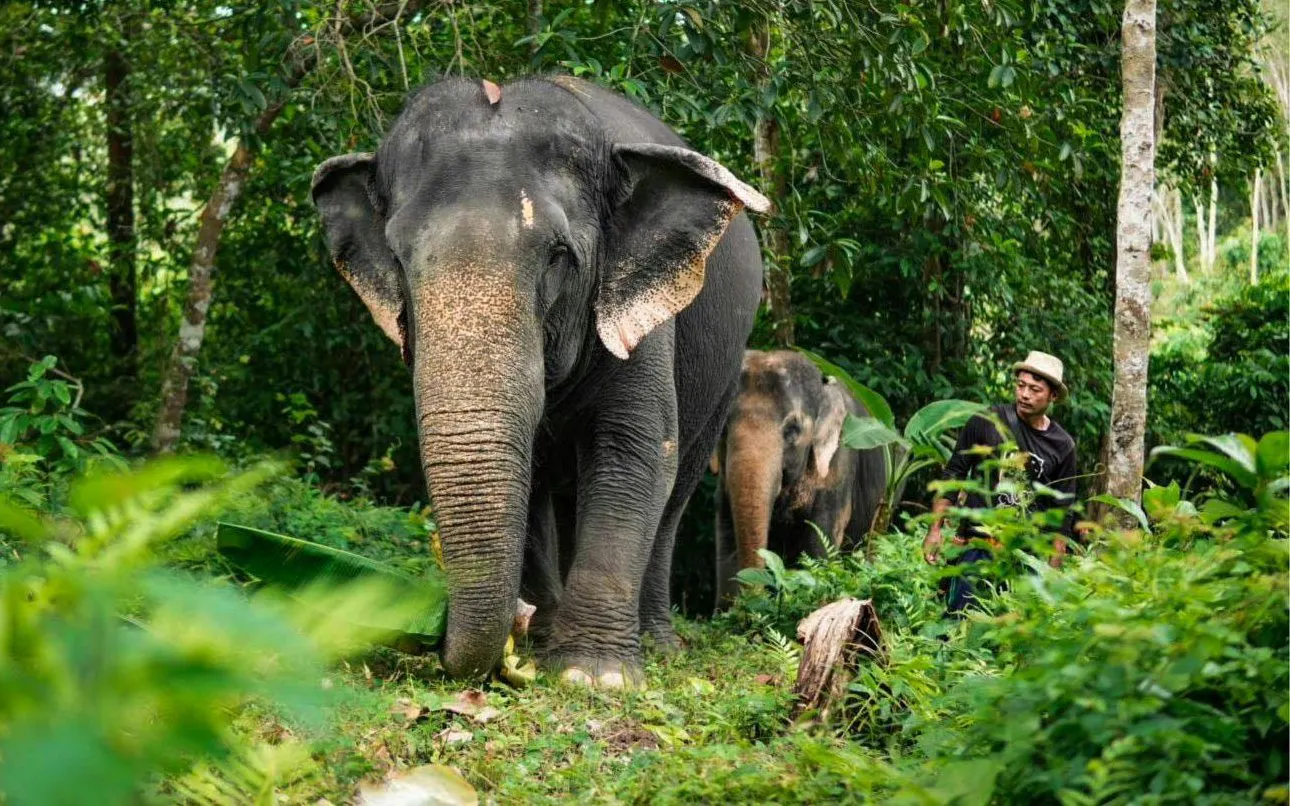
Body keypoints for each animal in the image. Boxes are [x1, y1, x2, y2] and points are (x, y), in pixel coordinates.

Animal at [311, 75, 768, 687]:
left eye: (558, 257)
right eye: (400, 260)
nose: (437, 643)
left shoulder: (641, 319)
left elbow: (636, 452)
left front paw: (592, 676)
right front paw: (538, 641)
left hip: (726, 374)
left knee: (675, 493)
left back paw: (656, 643)